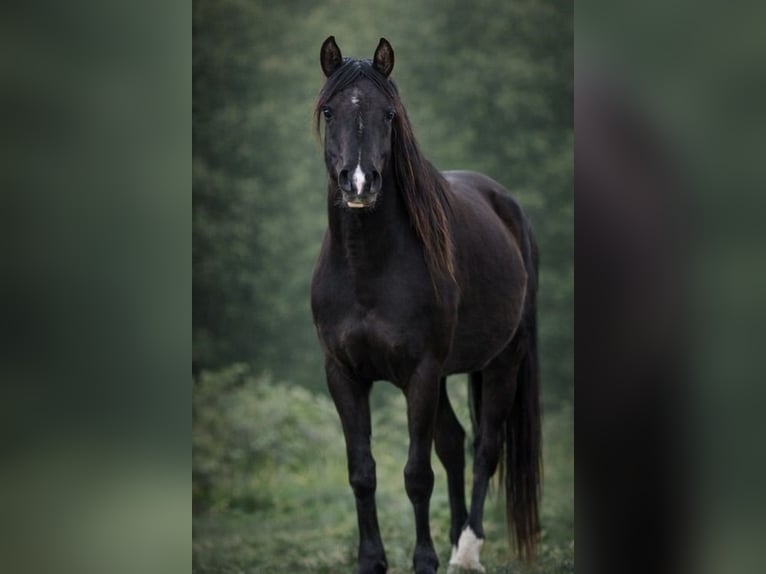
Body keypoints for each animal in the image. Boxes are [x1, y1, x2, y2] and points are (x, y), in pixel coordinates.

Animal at [310, 36, 541, 574]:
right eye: (329, 110)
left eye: (389, 114)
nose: (359, 183)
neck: (367, 270)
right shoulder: (343, 374)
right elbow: (362, 472)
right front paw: (372, 561)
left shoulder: (420, 372)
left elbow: (417, 474)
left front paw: (425, 560)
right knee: (454, 444)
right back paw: (456, 538)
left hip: (503, 361)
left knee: (484, 448)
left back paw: (467, 550)